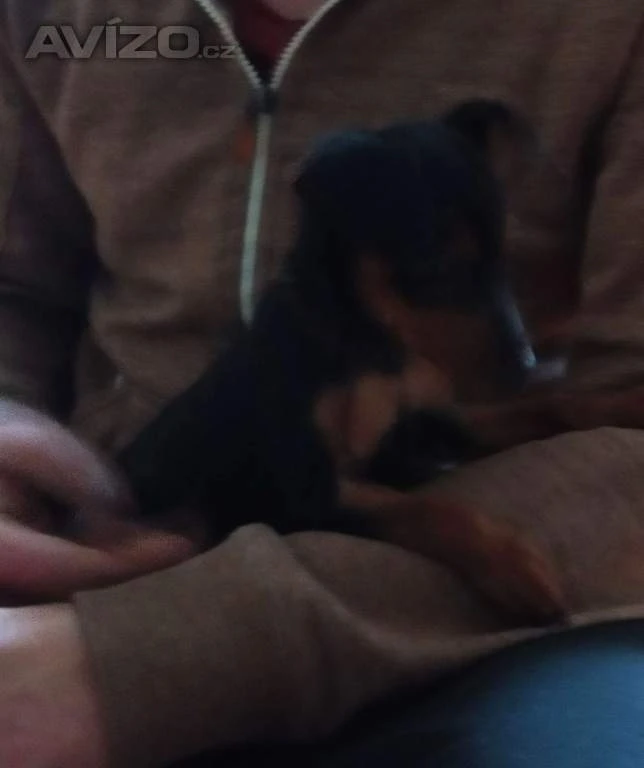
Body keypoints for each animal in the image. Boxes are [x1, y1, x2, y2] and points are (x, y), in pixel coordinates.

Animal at [115, 100, 567, 624]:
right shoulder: (313, 493)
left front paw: (614, 404)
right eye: (435, 267)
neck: (376, 353)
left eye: (504, 256)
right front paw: (512, 562)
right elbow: (424, 510)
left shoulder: (430, 420)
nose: (526, 367)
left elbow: (543, 411)